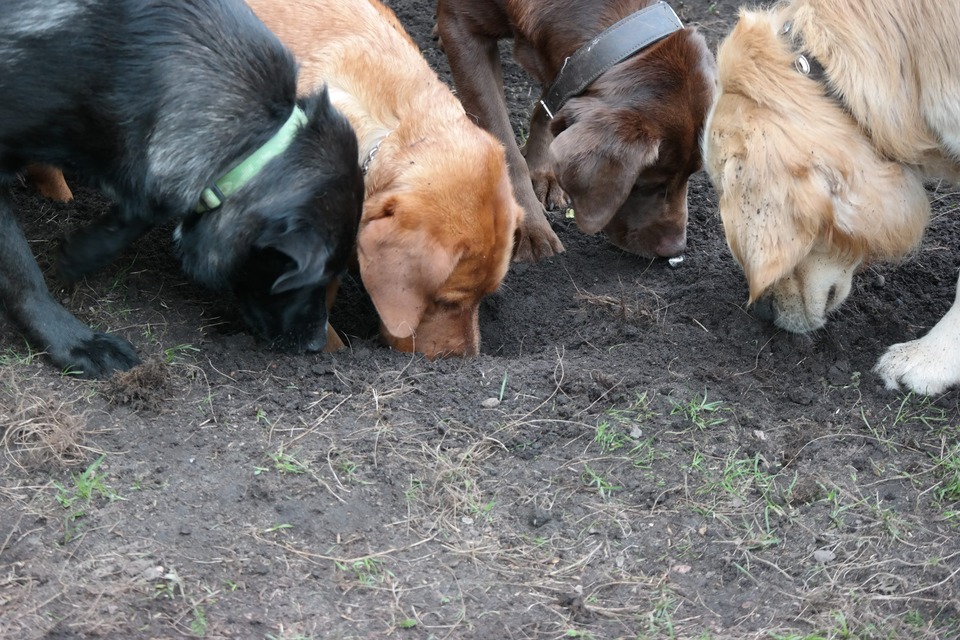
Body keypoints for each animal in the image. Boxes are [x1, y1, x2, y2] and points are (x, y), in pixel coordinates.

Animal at [0, 0, 362, 378]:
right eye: (301, 278)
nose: (317, 345)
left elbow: (146, 206)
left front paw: (85, 251)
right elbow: (22, 272)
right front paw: (77, 343)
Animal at [438, 0, 716, 262]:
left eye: (692, 175)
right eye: (647, 183)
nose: (675, 249)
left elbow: (548, 106)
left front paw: (544, 172)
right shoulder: (462, 29)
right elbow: (507, 150)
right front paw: (528, 229)